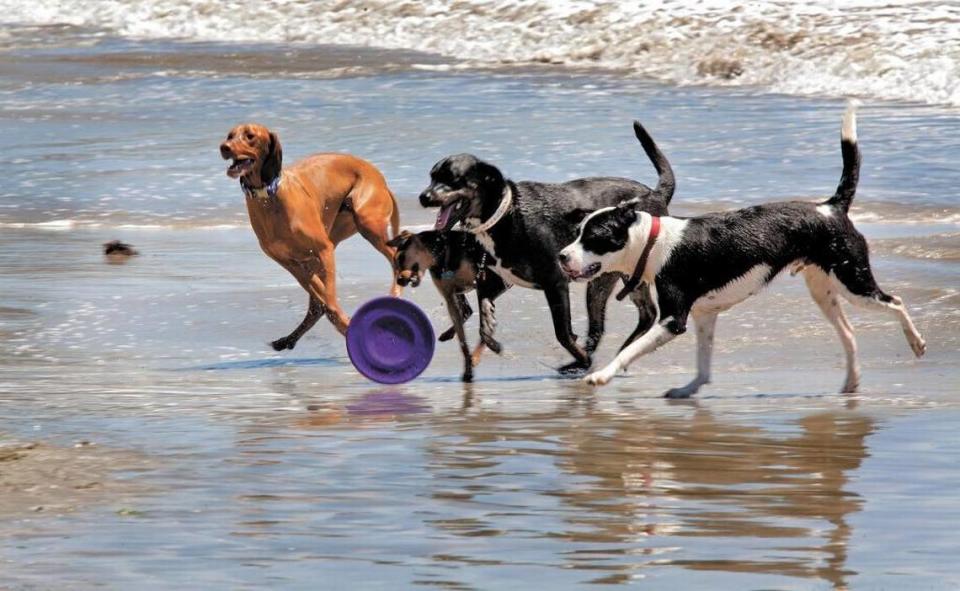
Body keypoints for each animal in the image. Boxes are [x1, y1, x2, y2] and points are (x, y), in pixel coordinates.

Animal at [221, 123, 402, 346]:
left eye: (250, 136)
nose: (224, 147)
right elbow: (320, 295)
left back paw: (394, 294)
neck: (269, 197)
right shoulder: (292, 263)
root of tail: (381, 179)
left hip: (367, 224)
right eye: (230, 135)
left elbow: (328, 296)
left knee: (394, 257)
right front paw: (341, 321)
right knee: (315, 304)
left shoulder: (324, 250)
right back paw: (289, 339)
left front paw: (344, 322)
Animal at [390, 229, 510, 382]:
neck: (442, 253)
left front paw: (489, 347)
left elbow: (485, 327)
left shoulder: (491, 285)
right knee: (467, 311)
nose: (399, 281)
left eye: (401, 258)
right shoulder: (450, 296)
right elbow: (463, 340)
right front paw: (468, 369)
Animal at [560, 106, 928, 398]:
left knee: (895, 303)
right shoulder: (704, 315)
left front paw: (601, 376)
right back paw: (851, 385)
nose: (562, 257)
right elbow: (703, 365)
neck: (653, 243)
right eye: (577, 233)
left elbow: (628, 351)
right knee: (849, 334)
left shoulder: (673, 321)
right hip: (824, 290)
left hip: (852, 280)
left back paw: (916, 342)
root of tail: (831, 207)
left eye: (593, 237)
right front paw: (688, 389)